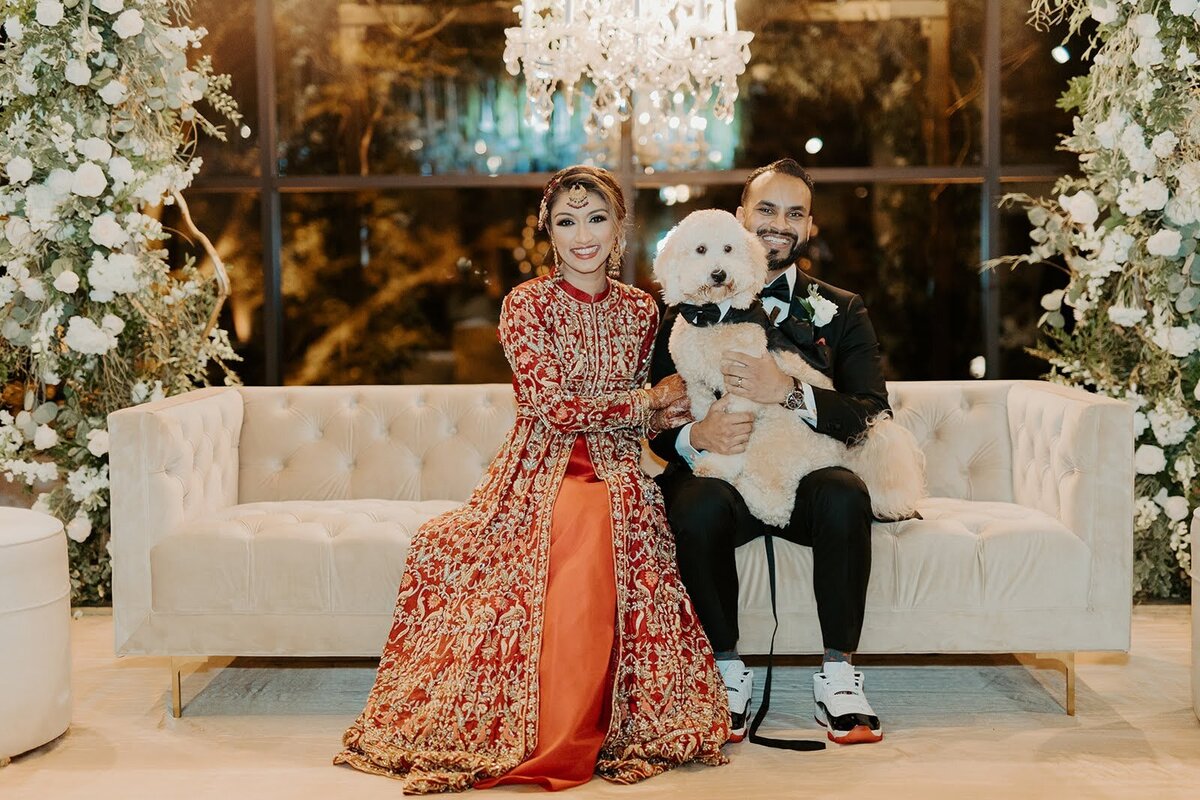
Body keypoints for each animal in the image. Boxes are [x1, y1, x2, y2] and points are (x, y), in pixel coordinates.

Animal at [652, 209, 921, 527]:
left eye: (728, 249)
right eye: (700, 249)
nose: (719, 274)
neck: (714, 318)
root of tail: (846, 457)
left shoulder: (741, 392)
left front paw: (717, 465)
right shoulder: (698, 388)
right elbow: (708, 423)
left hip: (774, 435)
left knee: (774, 505)